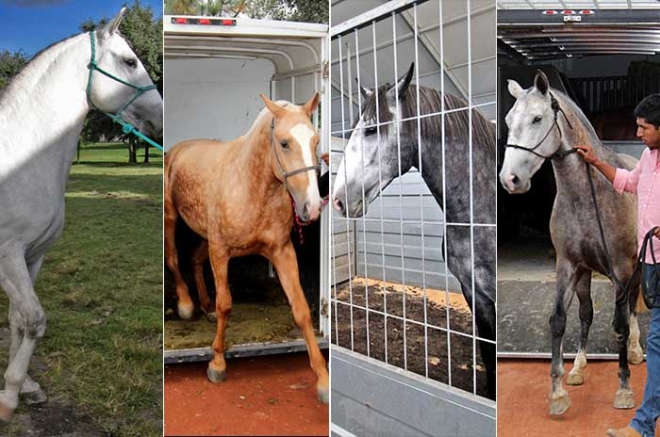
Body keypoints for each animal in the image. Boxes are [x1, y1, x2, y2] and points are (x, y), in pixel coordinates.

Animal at [0, 8, 162, 420]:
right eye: (130, 61)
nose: (160, 117)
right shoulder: (8, 255)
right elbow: (34, 319)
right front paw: (9, 397)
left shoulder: (33, 255)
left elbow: (18, 320)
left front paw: (24, 385)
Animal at [164, 93, 329, 404]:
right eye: (284, 143)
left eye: (315, 140)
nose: (311, 207)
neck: (254, 188)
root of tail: (176, 150)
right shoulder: (221, 252)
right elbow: (226, 304)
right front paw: (217, 362)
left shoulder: (282, 252)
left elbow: (301, 310)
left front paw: (323, 379)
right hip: (172, 219)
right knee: (174, 259)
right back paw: (187, 305)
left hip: (206, 235)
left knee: (195, 260)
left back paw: (205, 305)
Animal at [500, 70, 643, 415]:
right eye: (509, 119)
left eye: (538, 118)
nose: (510, 179)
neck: (587, 195)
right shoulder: (568, 265)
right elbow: (560, 320)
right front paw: (558, 391)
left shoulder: (621, 268)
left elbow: (620, 323)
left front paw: (624, 387)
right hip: (586, 273)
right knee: (587, 312)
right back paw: (578, 366)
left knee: (632, 305)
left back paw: (635, 349)